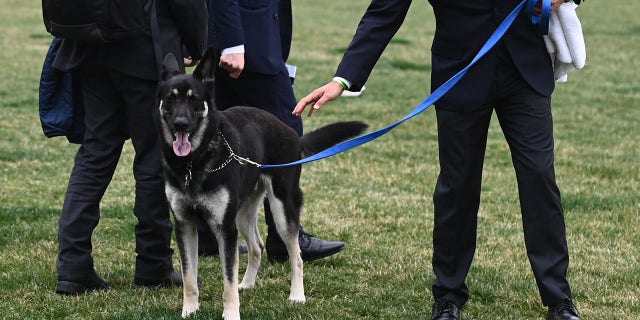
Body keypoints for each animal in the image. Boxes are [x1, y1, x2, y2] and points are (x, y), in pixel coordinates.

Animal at [153, 48, 368, 318]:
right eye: (170, 99)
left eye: (194, 100)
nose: (180, 124)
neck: (194, 162)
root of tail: (292, 134)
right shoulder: (185, 225)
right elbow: (189, 276)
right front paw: (189, 312)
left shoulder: (225, 229)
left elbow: (228, 279)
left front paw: (231, 314)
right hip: (243, 213)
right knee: (257, 246)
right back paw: (248, 283)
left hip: (281, 208)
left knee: (295, 255)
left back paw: (297, 296)